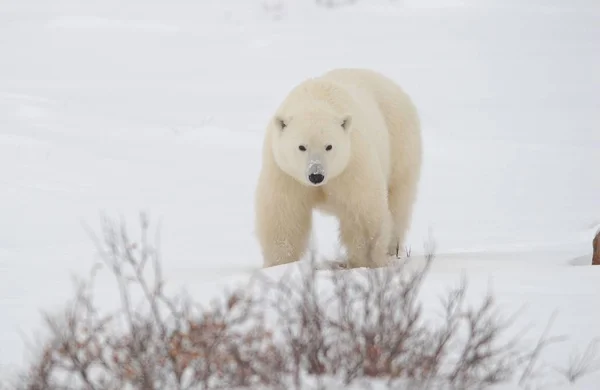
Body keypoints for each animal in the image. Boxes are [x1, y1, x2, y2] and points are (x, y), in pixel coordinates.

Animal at [253, 68, 422, 268]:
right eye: (302, 147)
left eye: (329, 146)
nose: (316, 175)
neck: (315, 99)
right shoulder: (284, 171)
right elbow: (284, 214)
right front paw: (280, 264)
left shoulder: (351, 164)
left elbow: (362, 211)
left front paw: (363, 262)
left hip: (400, 142)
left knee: (398, 199)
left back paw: (392, 250)